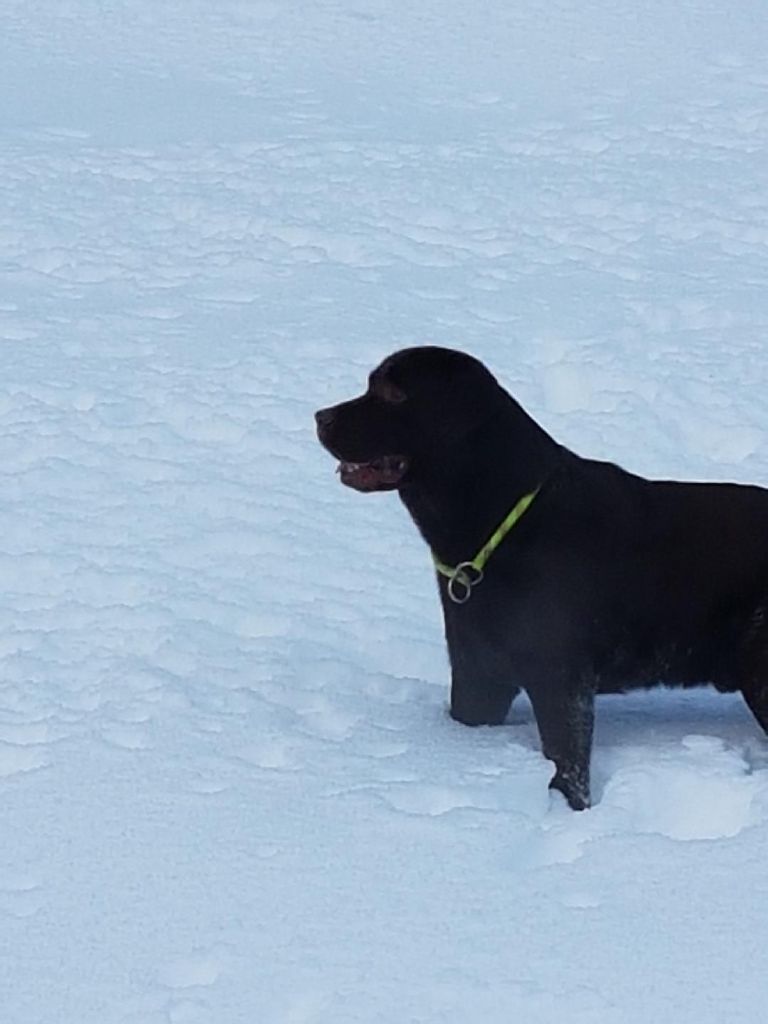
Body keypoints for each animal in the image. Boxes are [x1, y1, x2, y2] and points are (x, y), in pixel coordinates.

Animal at [313, 348, 768, 811]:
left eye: (394, 393)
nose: (321, 416)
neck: (503, 522)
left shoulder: (560, 680)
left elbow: (567, 765)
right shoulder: (478, 675)